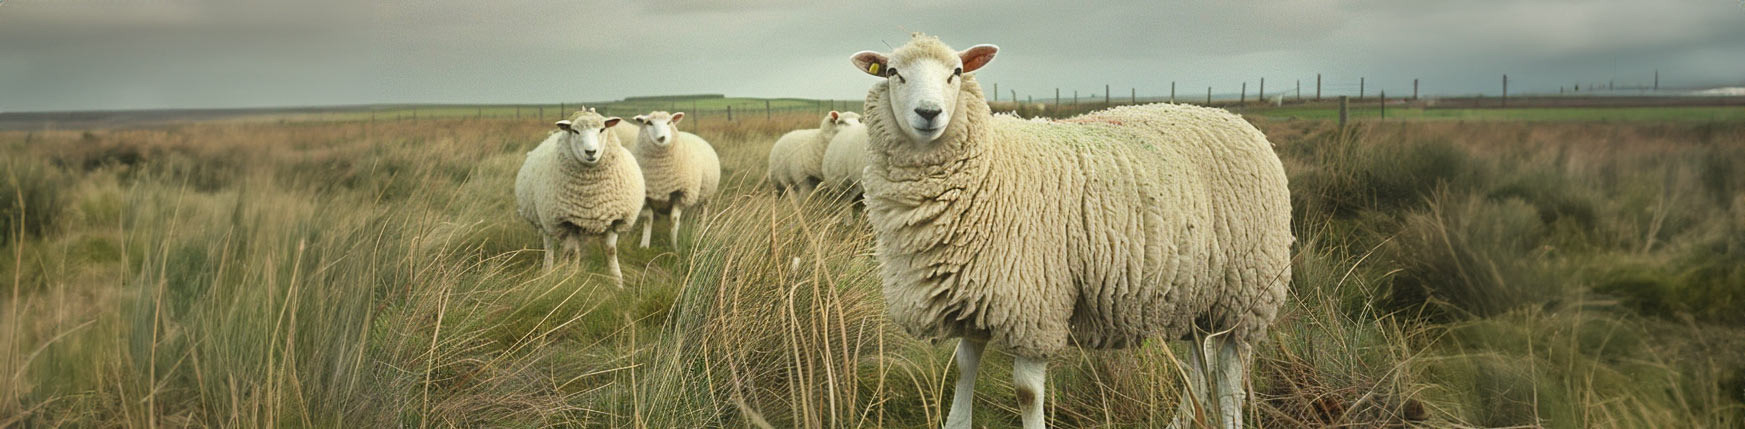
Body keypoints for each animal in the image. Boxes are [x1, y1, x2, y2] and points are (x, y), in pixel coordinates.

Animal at [509, 108, 649, 287]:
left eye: (602, 129)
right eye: (575, 131)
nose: (590, 152)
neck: (591, 194)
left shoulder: (614, 220)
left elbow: (610, 252)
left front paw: (618, 284)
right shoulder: (567, 221)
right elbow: (573, 252)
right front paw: (569, 280)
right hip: (546, 220)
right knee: (551, 245)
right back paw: (547, 272)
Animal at [628, 110, 722, 247]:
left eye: (669, 122)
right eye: (649, 123)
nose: (662, 138)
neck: (660, 174)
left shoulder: (681, 194)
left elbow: (674, 219)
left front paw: (674, 245)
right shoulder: (646, 196)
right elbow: (648, 219)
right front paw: (644, 245)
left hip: (706, 196)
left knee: (702, 212)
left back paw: (700, 229)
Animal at [851, 34, 1291, 429]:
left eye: (956, 73)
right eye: (893, 73)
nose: (929, 113)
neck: (992, 168)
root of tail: (1241, 123)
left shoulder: (1035, 303)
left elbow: (1027, 392)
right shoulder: (974, 293)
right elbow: (962, 369)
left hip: (1247, 289)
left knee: (1231, 372)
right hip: (1199, 290)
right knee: (1202, 362)